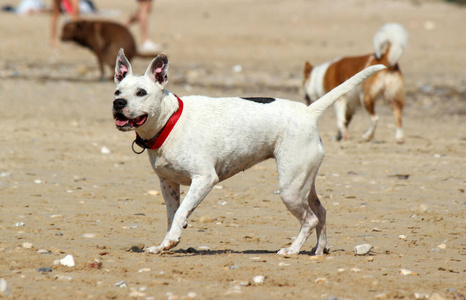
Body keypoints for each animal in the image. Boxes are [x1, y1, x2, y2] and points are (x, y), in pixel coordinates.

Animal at [112, 49, 382, 255]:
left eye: (141, 92)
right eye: (117, 91)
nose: (118, 103)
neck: (170, 122)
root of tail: (308, 111)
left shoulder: (204, 179)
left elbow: (180, 213)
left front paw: (172, 240)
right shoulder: (168, 184)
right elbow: (173, 215)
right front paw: (163, 244)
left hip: (289, 189)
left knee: (310, 219)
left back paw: (292, 250)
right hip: (303, 182)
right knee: (321, 212)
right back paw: (319, 249)